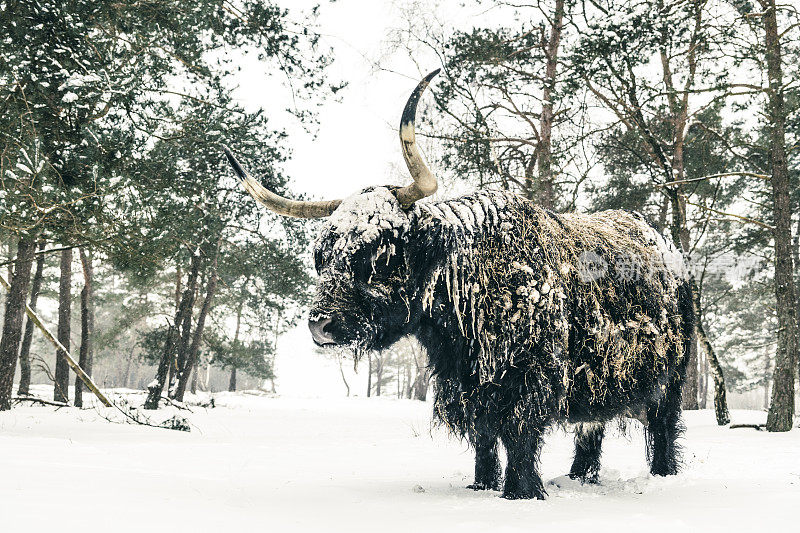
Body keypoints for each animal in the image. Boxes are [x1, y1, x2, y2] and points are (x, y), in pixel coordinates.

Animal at [223, 69, 692, 498]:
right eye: (322, 256)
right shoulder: (464, 384)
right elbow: (484, 440)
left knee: (663, 428)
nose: (321, 324)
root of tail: (669, 249)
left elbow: (519, 438)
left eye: (382, 253)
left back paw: (663, 477)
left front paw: (522, 493)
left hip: (672, 378)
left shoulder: (529, 380)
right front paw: (481, 487)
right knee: (591, 431)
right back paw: (579, 478)